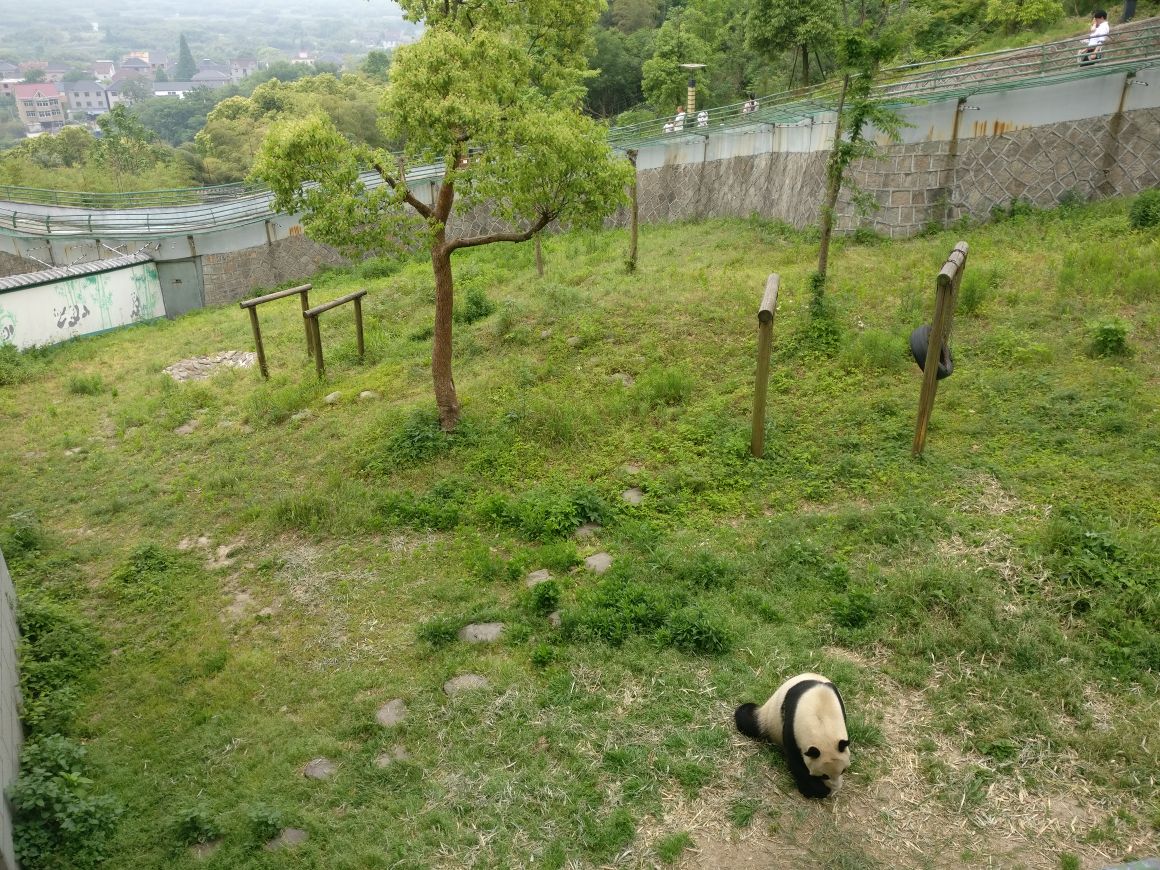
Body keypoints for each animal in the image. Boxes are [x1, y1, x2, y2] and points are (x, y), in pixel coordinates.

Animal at [733, 672, 853, 802]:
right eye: (824, 775)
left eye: (843, 770)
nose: (835, 787)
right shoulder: (791, 723)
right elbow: (795, 761)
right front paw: (815, 790)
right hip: (769, 719)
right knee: (748, 719)